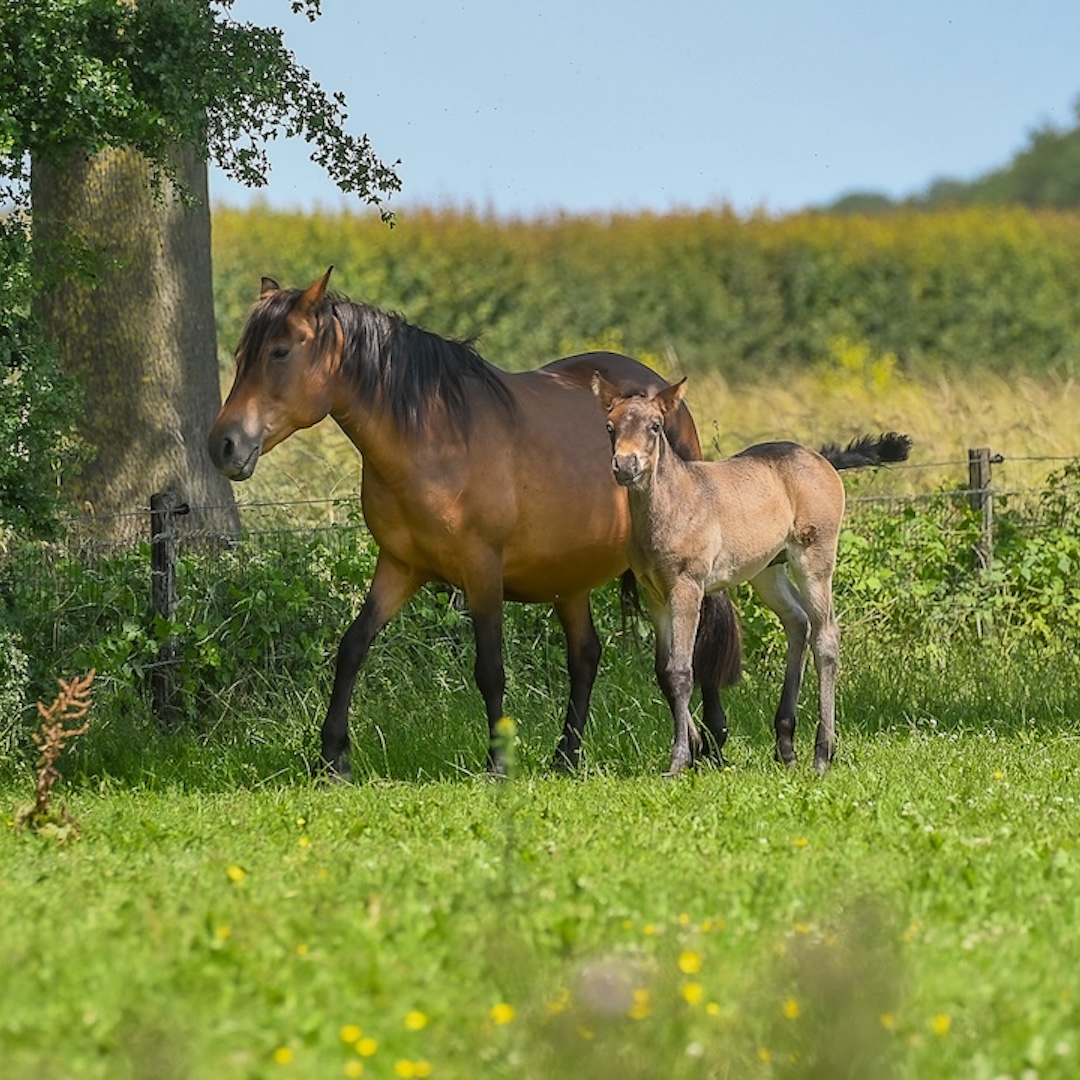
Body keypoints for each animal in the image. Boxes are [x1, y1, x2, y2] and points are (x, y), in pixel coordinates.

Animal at [208, 268, 741, 779]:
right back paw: (567, 757)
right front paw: (331, 759)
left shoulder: (482, 571)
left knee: (700, 640)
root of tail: (663, 394)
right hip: (569, 575)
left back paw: (713, 745)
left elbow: (490, 669)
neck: (434, 439)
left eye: (280, 351)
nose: (223, 445)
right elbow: (353, 647)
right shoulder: (399, 566)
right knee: (586, 656)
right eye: (242, 353)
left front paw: (497, 763)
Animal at [592, 372, 911, 777]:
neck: (672, 505)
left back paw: (822, 754)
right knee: (798, 622)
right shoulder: (656, 595)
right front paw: (698, 747)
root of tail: (820, 458)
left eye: (655, 426)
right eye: (609, 426)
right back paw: (786, 744)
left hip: (814, 558)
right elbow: (664, 672)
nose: (626, 466)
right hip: (768, 570)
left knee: (826, 637)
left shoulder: (687, 587)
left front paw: (679, 759)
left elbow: (681, 671)